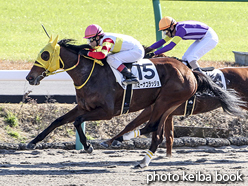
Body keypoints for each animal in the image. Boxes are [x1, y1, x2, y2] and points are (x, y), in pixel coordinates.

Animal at [103, 67, 247, 163]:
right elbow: (169, 136)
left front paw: (113, 140)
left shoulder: (153, 109)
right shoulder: (167, 112)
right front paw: (167, 156)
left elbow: (132, 125)